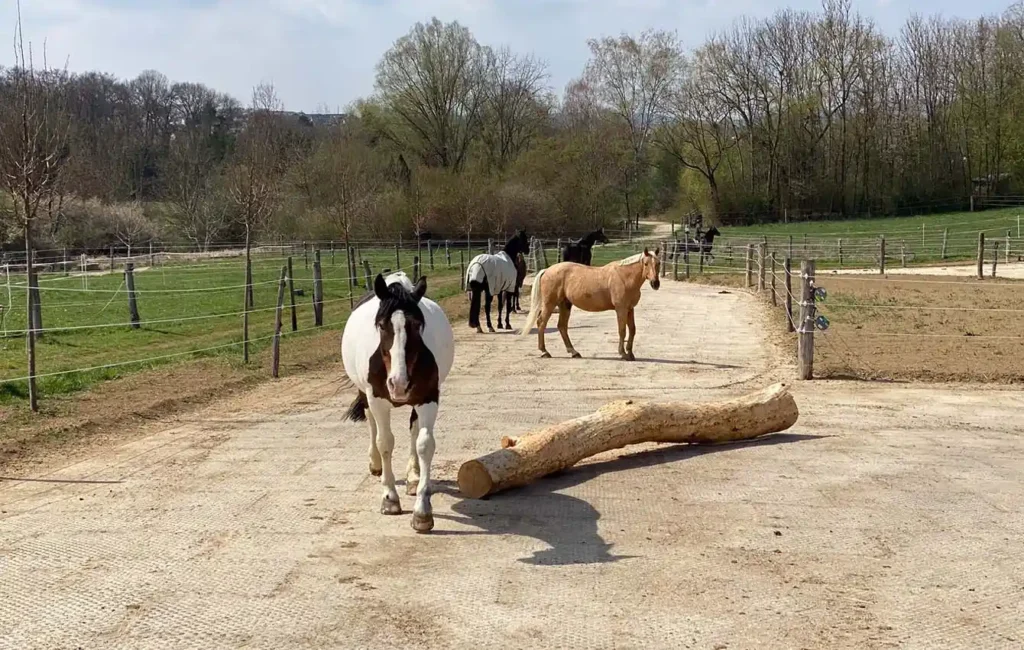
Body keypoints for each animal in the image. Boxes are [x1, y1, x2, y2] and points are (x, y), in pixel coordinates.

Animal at [341, 271, 455, 533]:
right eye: (382, 325)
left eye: (417, 325)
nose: (399, 383)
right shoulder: (377, 399)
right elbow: (385, 442)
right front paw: (390, 499)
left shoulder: (429, 398)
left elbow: (424, 444)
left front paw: (422, 511)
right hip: (366, 395)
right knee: (372, 424)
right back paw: (375, 464)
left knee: (413, 430)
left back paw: (412, 477)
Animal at [518, 248, 661, 361]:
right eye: (646, 264)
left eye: (658, 263)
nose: (655, 283)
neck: (624, 277)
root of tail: (547, 270)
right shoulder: (621, 309)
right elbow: (622, 330)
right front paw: (623, 354)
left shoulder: (630, 309)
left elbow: (632, 330)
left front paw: (630, 354)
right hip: (550, 304)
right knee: (542, 322)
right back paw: (544, 352)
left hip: (565, 305)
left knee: (562, 326)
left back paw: (574, 352)